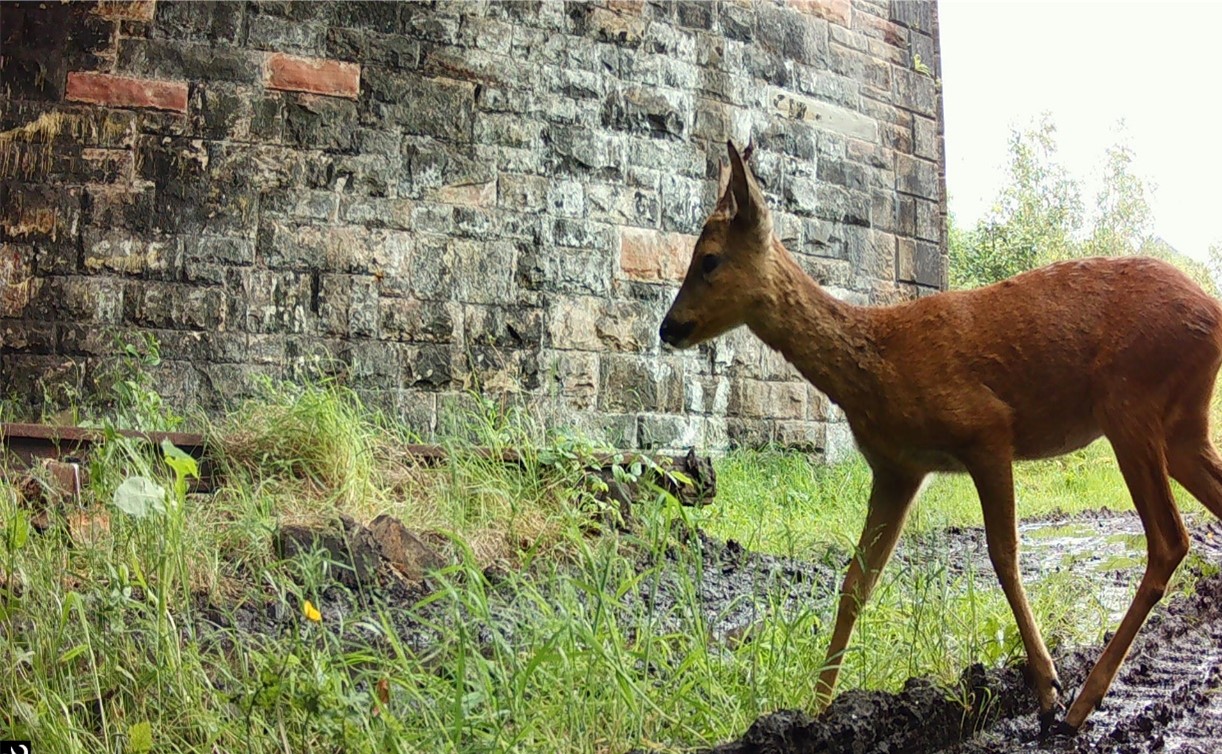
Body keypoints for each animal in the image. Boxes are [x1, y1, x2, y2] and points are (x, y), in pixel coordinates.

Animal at [664, 139, 1217, 728]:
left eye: (709, 259)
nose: (667, 327)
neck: (877, 359)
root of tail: (1215, 313)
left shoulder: (986, 429)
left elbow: (1003, 555)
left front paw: (1046, 685)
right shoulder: (897, 468)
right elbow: (856, 584)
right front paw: (816, 710)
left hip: (1129, 404)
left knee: (1169, 540)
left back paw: (1081, 701)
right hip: (1182, 425)